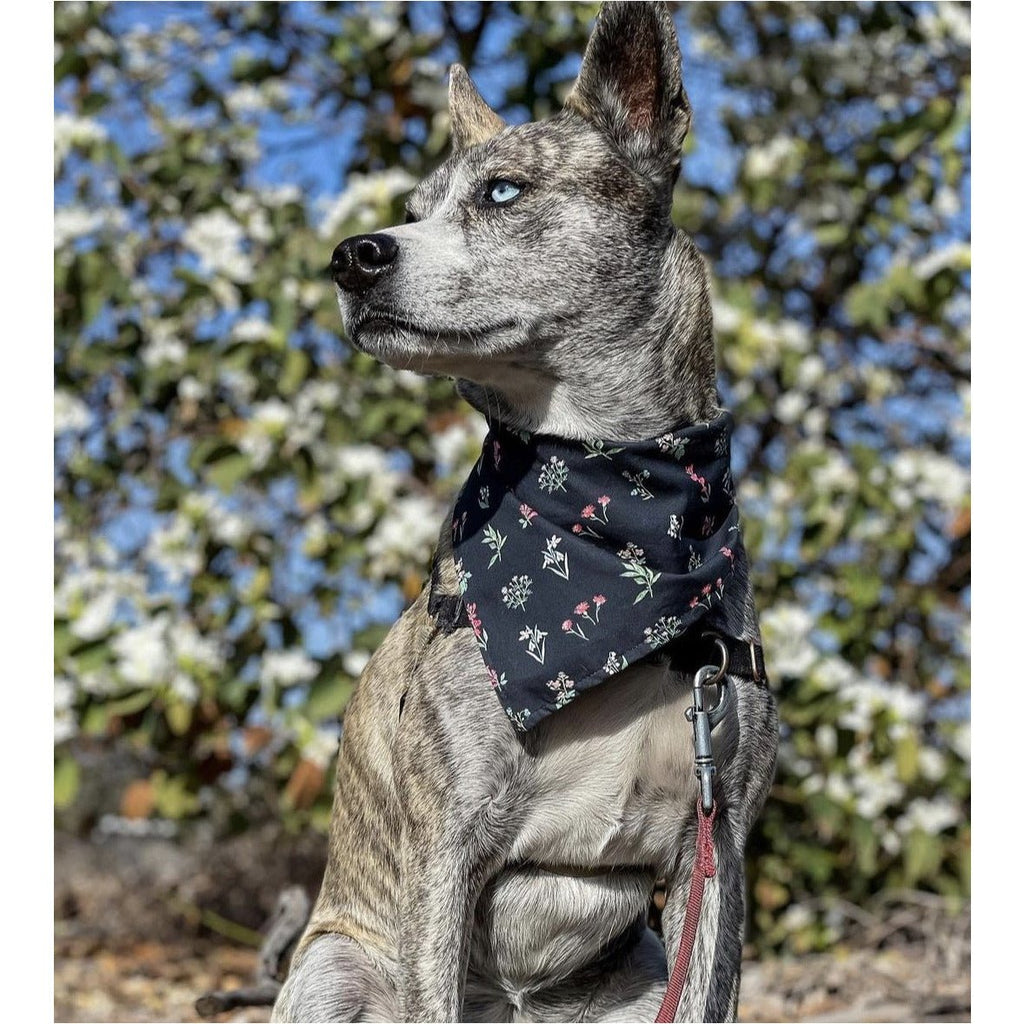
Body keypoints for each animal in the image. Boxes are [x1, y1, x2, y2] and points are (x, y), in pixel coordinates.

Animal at [272, 4, 774, 1019]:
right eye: (414, 208)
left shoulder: (720, 847)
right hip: (333, 970)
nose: (352, 256)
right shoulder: (444, 843)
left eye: (503, 192)